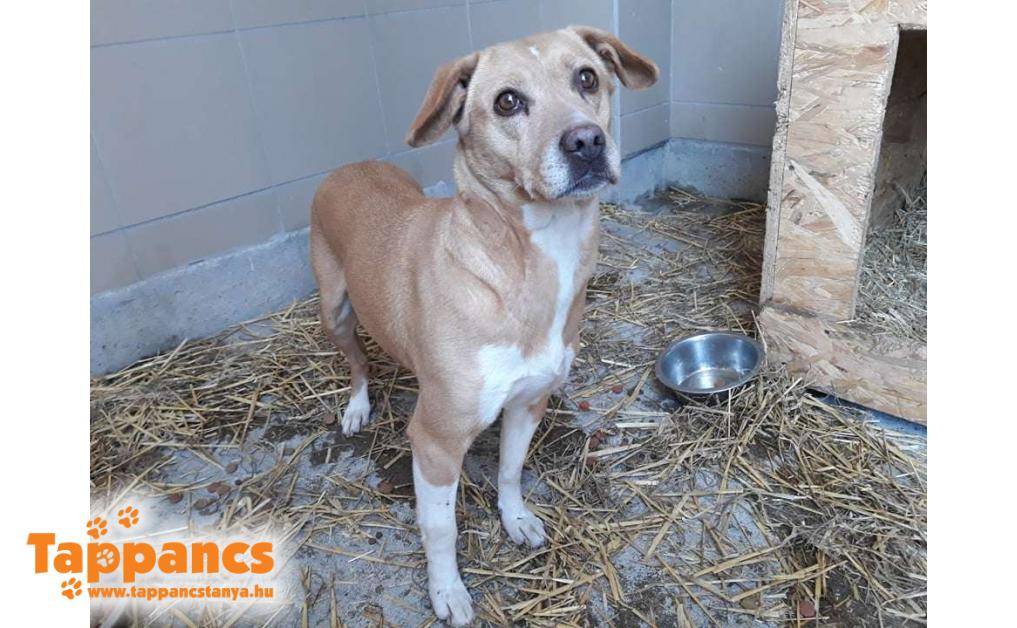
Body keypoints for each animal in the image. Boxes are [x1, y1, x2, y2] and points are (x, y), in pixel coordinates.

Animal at [310, 26, 657, 625]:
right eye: (507, 101)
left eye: (587, 78)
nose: (587, 142)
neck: (532, 263)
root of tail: (350, 165)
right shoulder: (434, 441)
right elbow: (440, 528)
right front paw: (447, 591)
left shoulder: (529, 402)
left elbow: (511, 471)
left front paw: (515, 519)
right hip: (335, 310)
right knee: (356, 361)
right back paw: (356, 406)